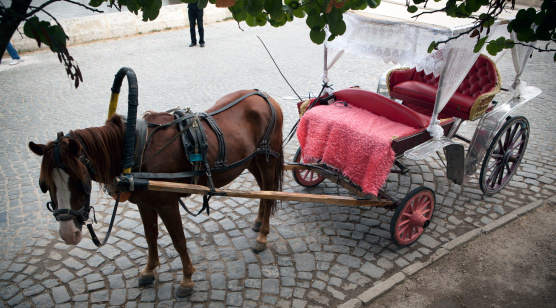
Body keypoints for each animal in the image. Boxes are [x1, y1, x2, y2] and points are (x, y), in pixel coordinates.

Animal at [28, 90, 284, 298]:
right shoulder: (144, 204)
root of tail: (265, 96)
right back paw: (259, 222)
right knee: (264, 191)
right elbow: (150, 236)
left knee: (270, 192)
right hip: (250, 160)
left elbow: (179, 240)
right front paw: (149, 270)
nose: (68, 233)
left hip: (267, 158)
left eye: (79, 181)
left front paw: (187, 280)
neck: (135, 150)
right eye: (45, 184)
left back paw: (262, 236)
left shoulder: (167, 204)